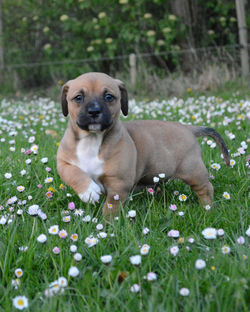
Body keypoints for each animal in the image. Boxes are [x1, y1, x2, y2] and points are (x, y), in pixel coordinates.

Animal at [57, 72, 229, 216]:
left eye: (109, 97)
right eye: (78, 98)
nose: (94, 111)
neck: (92, 139)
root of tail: (188, 128)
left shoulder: (118, 185)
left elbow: (110, 208)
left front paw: (107, 226)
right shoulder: (63, 162)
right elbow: (73, 173)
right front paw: (88, 191)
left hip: (192, 171)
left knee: (205, 188)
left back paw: (207, 208)